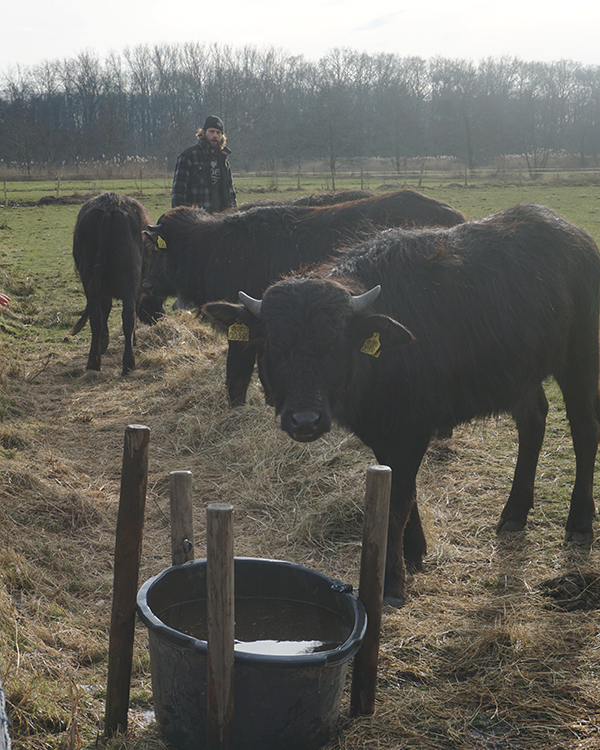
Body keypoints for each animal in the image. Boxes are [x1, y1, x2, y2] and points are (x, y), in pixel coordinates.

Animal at [72, 191, 165, 374]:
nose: (161, 316)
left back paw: (93, 362)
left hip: (89, 277)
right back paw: (129, 362)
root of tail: (110, 208)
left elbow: (105, 310)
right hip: (130, 279)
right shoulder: (138, 290)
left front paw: (103, 342)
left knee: (96, 316)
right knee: (128, 314)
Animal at [205, 203, 600, 608]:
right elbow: (401, 493)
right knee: (533, 421)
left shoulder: (413, 430)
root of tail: (576, 238)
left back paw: (580, 523)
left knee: (585, 431)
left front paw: (392, 579)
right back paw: (515, 513)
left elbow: (397, 503)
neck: (375, 367)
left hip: (580, 357)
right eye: (274, 345)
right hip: (522, 375)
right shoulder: (383, 433)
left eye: (334, 343)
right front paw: (414, 551)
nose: (304, 420)